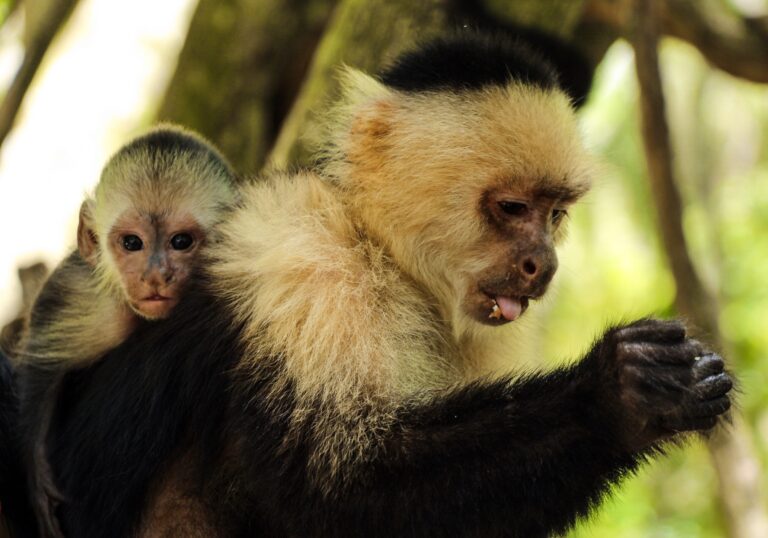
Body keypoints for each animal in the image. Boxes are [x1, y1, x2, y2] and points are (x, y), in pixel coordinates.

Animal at [14, 124, 238, 538]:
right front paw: (36, 475)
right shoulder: (89, 302)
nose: (155, 275)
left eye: (181, 242)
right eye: (132, 243)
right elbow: (43, 365)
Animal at [44, 34, 733, 537]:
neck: (381, 250)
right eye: (512, 208)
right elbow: (334, 491)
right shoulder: (303, 260)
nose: (544, 263)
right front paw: (621, 394)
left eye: (556, 213)